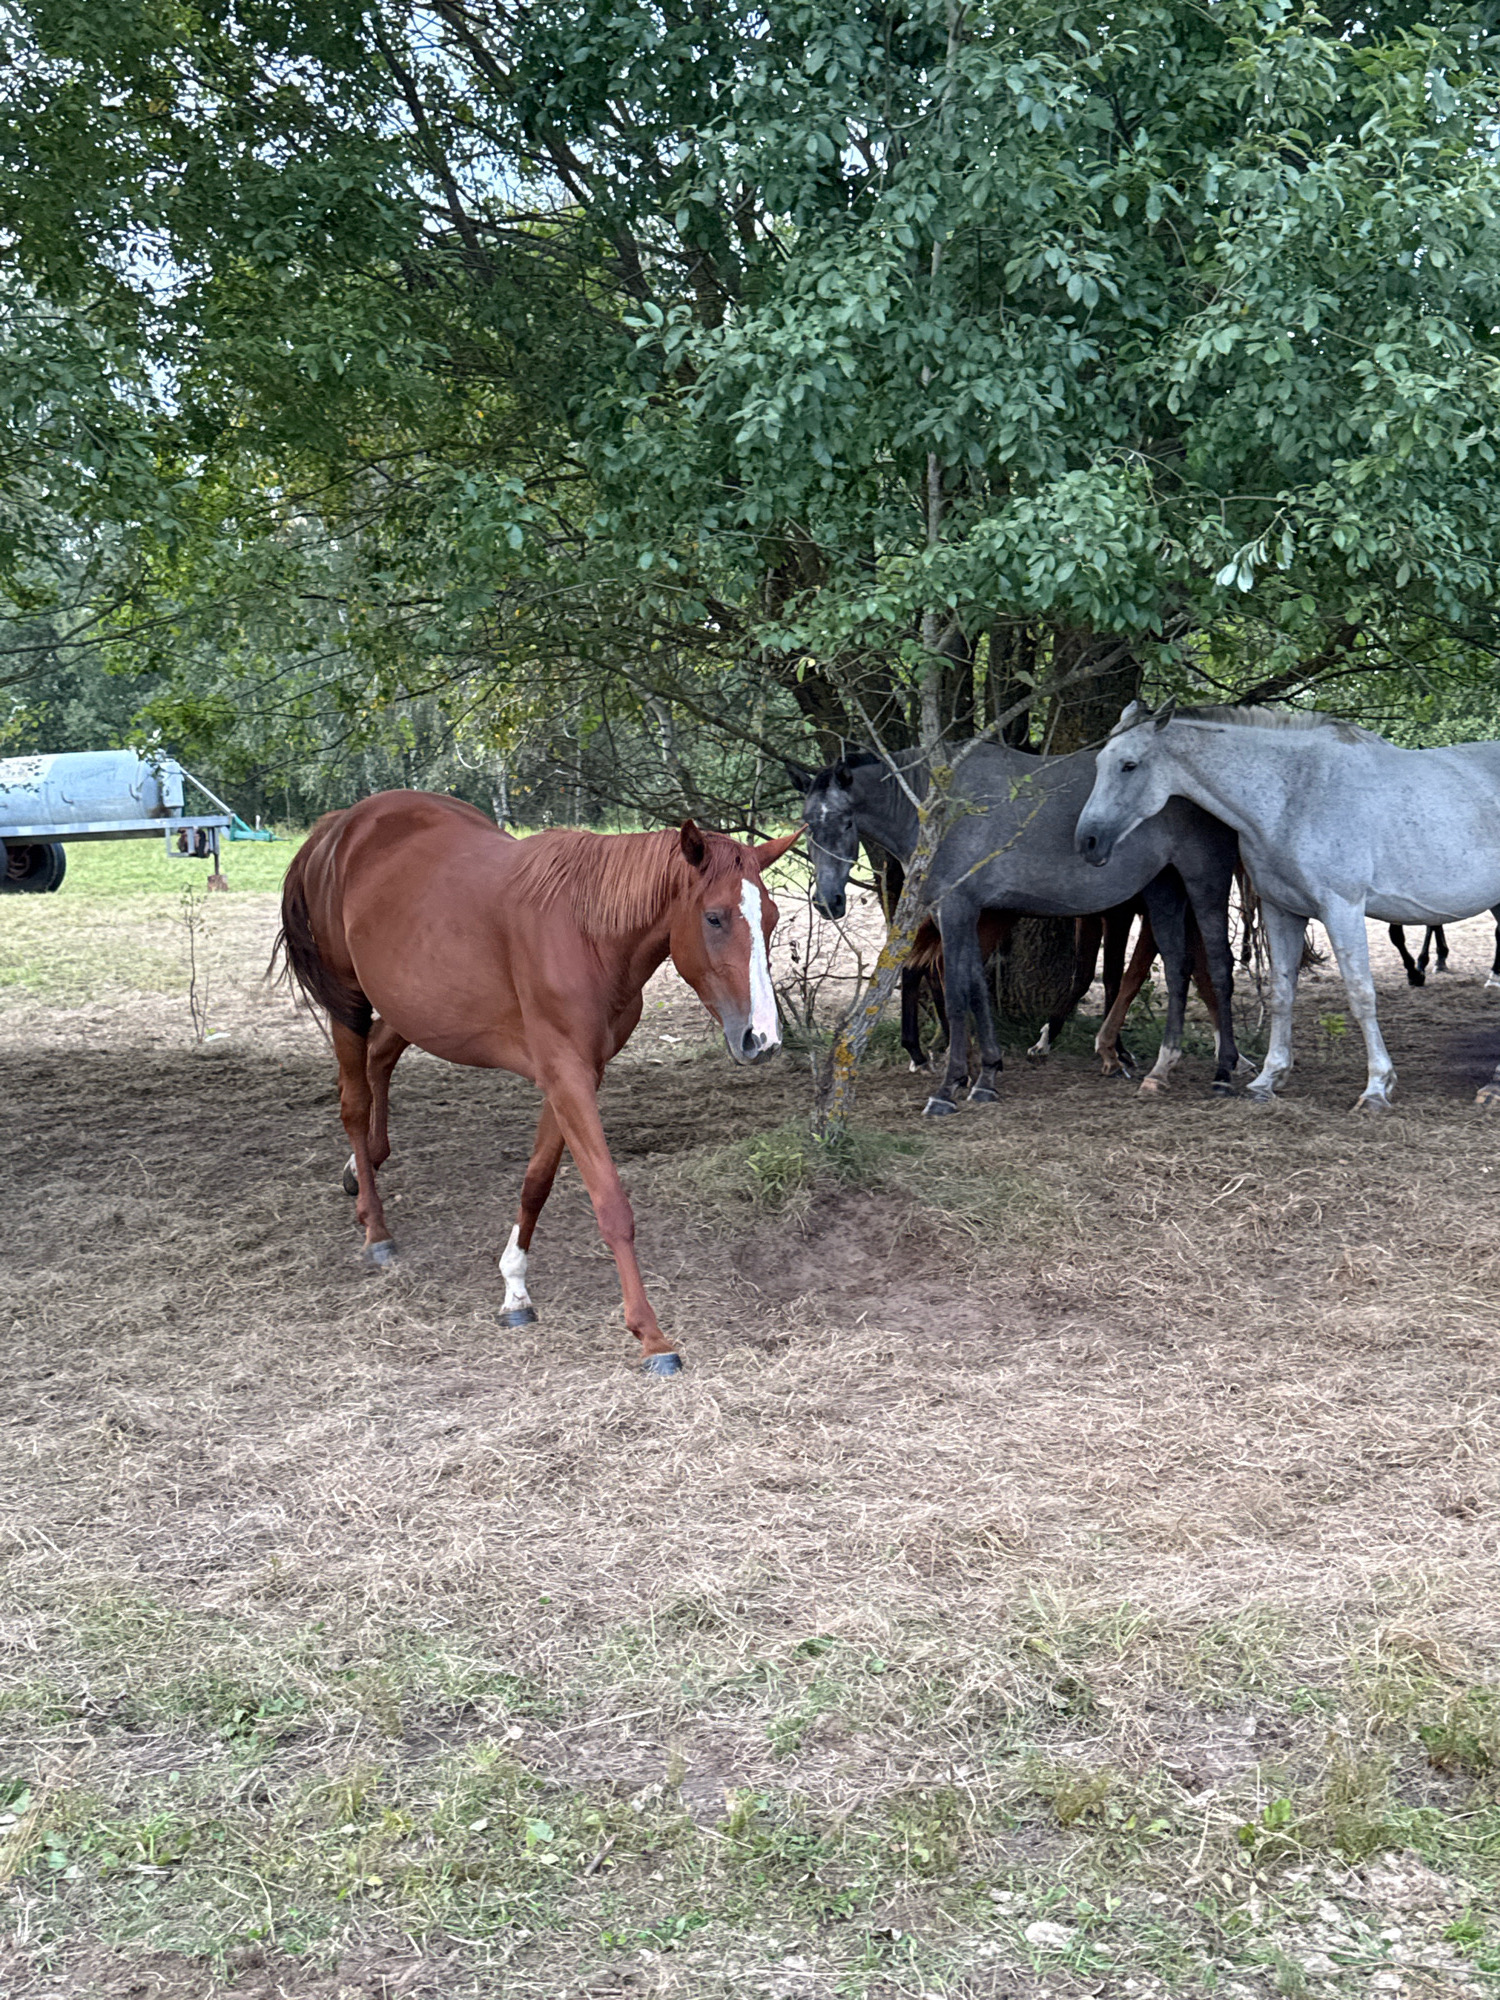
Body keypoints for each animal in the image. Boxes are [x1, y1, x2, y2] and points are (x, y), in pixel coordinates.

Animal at [274, 791, 800, 1372]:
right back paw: (375, 1227)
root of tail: (339, 826)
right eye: (714, 918)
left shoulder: (575, 1074)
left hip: (412, 1007)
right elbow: (611, 1204)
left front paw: (515, 1289)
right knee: (353, 1099)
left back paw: (363, 1163)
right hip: (348, 1000)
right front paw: (651, 1335)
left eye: (770, 917)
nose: (762, 1037)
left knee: (380, 1059)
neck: (586, 930)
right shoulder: (566, 1074)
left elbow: (536, 1182)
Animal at [792, 747, 1243, 1112]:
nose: (828, 901)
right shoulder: (966, 913)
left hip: (1205, 885)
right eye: (807, 823)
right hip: (1165, 892)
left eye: (846, 821)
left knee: (1219, 968)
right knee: (1178, 968)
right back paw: (1161, 1069)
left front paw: (949, 1087)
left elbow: (958, 994)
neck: (939, 810)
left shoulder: (958, 911)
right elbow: (975, 988)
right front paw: (986, 1076)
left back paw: (1224, 1071)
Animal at [1075, 701, 1500, 1112]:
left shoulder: (1342, 908)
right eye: (1098, 764)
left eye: (1129, 765)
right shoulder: (1281, 910)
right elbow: (1281, 993)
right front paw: (1268, 1079)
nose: (1088, 841)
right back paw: (1491, 1087)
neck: (1294, 795)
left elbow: (1361, 993)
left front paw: (1377, 1088)